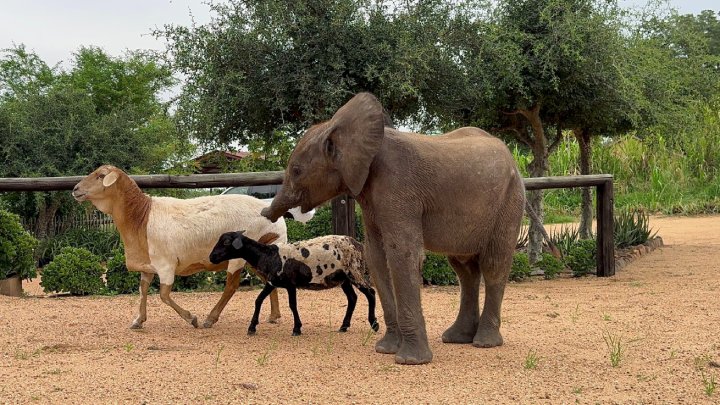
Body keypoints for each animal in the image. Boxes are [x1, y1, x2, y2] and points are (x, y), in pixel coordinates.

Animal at [72, 164, 286, 328]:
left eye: (100, 176)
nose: (75, 189)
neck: (141, 217)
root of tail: (275, 218)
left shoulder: (166, 264)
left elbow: (164, 295)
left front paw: (192, 318)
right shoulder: (148, 265)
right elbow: (143, 290)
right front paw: (138, 320)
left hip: (238, 257)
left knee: (231, 287)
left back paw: (210, 319)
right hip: (256, 256)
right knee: (269, 279)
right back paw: (274, 316)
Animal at [208, 229, 380, 336]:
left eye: (226, 242)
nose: (212, 257)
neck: (268, 255)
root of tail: (358, 244)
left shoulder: (290, 284)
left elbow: (292, 305)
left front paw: (297, 328)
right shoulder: (272, 282)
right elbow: (258, 300)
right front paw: (252, 327)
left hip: (354, 271)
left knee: (370, 293)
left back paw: (374, 324)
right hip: (343, 278)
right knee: (352, 298)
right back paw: (344, 326)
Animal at [262, 93, 524, 364]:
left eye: (296, 171)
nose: (265, 213)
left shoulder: (398, 186)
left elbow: (402, 254)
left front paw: (410, 361)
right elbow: (377, 257)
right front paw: (386, 349)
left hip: (511, 200)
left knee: (493, 265)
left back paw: (485, 342)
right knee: (464, 269)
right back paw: (457, 337)